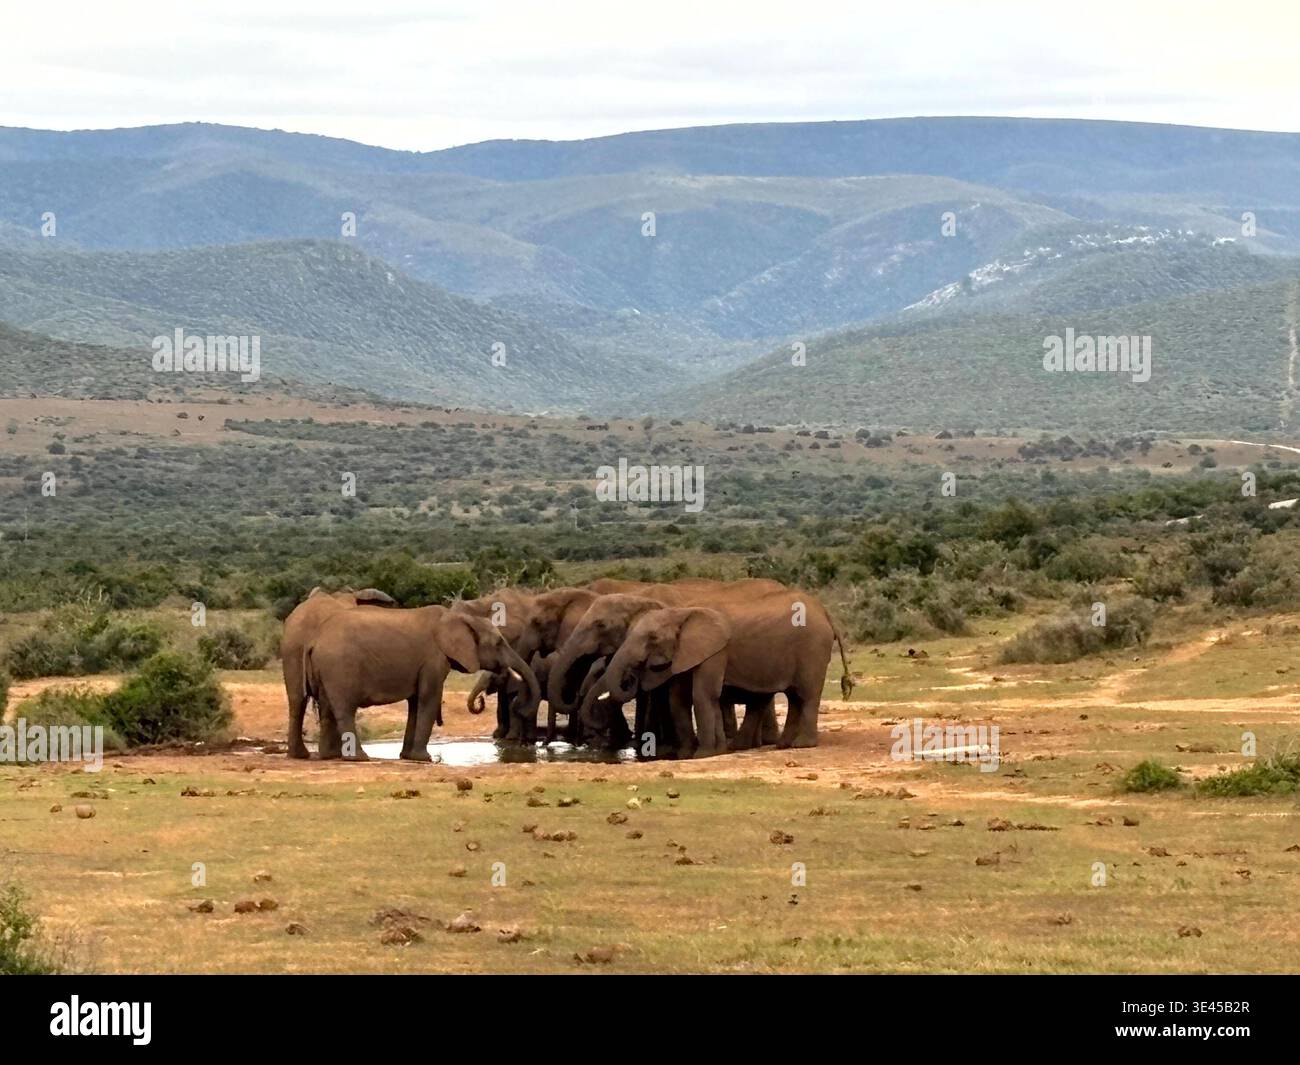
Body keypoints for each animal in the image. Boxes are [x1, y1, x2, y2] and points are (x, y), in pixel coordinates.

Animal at [305, 605, 540, 761]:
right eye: (499, 643)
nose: (522, 707)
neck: (462, 618)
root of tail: (315, 640)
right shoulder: (433, 660)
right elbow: (429, 698)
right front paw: (424, 759)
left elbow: (416, 703)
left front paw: (408, 757)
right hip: (339, 667)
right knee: (344, 709)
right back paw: (359, 758)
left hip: (326, 669)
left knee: (326, 709)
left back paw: (329, 756)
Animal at [579, 607, 732, 757]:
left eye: (653, 637)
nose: (632, 675)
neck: (681, 613)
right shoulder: (682, 656)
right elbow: (678, 698)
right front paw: (689, 755)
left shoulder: (714, 650)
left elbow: (702, 695)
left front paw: (702, 755)